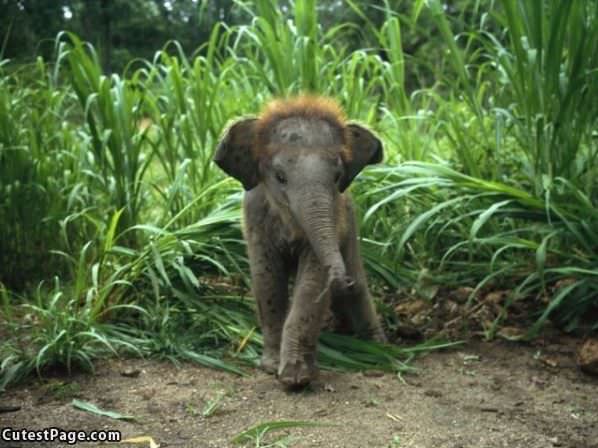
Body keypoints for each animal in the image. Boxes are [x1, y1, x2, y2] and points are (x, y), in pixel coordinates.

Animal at [216, 95, 390, 384]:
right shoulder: (255, 218)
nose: (343, 280)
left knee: (359, 289)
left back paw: (379, 349)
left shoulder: (335, 217)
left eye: (337, 177)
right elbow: (267, 279)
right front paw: (272, 367)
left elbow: (311, 282)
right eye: (280, 177)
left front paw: (296, 378)